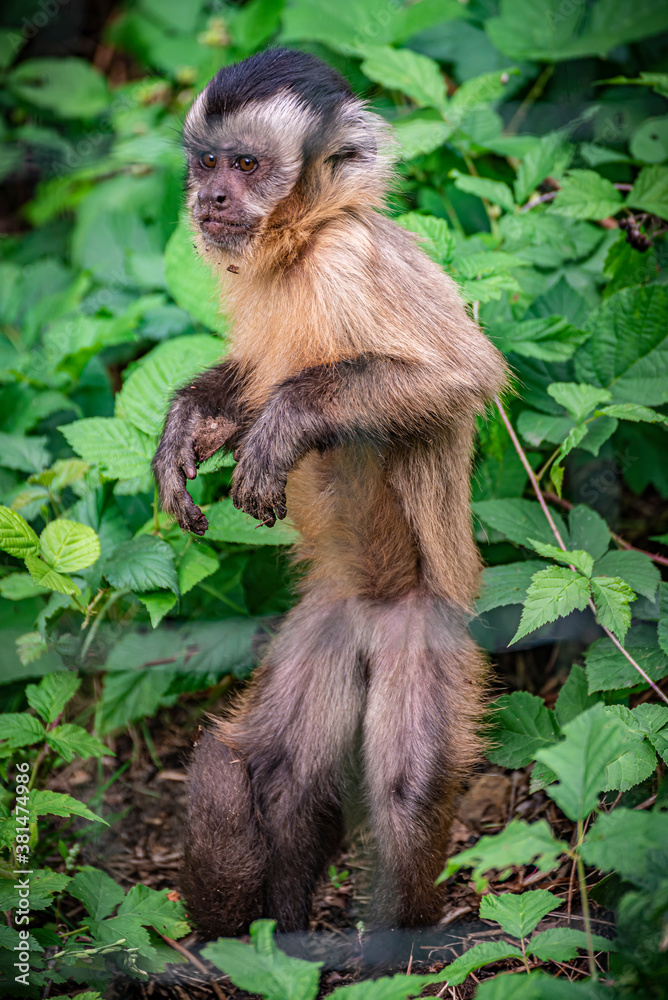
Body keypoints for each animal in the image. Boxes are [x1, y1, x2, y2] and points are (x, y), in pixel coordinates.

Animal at [152, 47, 507, 939]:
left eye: (246, 167)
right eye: (208, 162)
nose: (210, 199)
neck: (301, 244)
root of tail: (374, 612)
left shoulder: (355, 258)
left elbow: (462, 377)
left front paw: (286, 421)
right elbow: (244, 383)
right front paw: (186, 427)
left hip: (424, 627)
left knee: (408, 785)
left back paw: (402, 942)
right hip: (324, 621)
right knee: (281, 772)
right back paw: (278, 934)